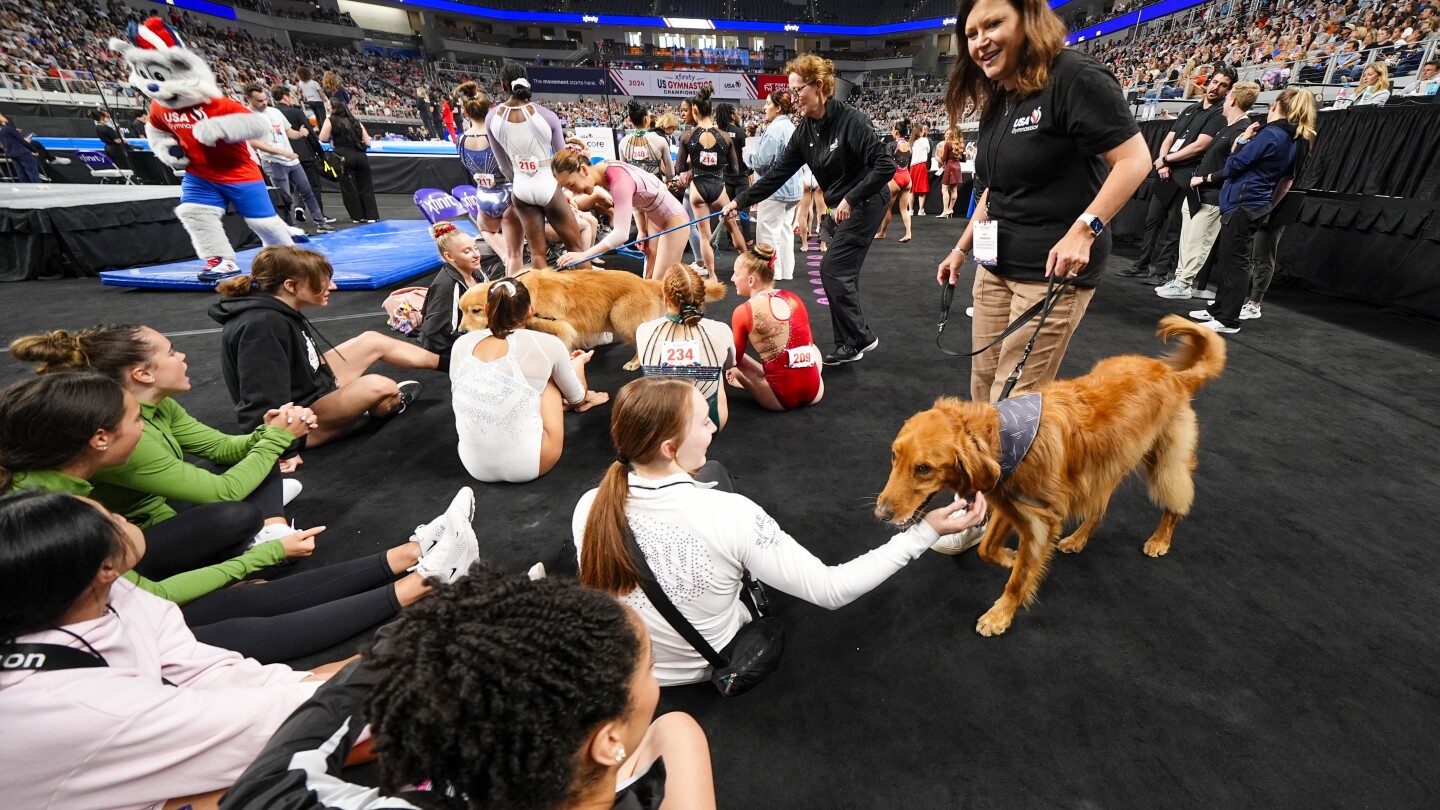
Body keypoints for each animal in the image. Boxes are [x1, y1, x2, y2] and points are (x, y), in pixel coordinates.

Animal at [875, 315, 1226, 637]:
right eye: (894, 456)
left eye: (924, 468)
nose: (880, 514)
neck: (1004, 440)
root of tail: (1175, 376)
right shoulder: (1012, 502)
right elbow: (986, 548)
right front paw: (1007, 557)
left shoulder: (1041, 520)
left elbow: (1019, 579)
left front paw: (1001, 614)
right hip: (1105, 468)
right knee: (1099, 509)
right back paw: (1079, 538)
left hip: (1165, 464)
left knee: (1176, 504)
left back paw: (1160, 539)